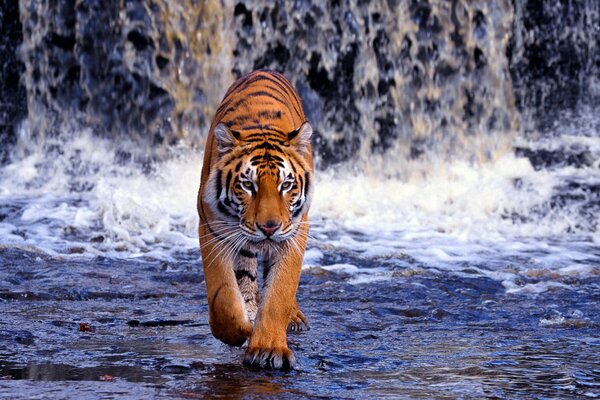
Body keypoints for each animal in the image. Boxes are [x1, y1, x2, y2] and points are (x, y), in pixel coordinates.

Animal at [199, 68, 316, 368]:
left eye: (286, 185)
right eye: (247, 185)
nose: (269, 228)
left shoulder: (295, 232)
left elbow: (279, 292)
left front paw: (268, 348)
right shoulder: (212, 229)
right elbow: (223, 295)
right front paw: (240, 329)